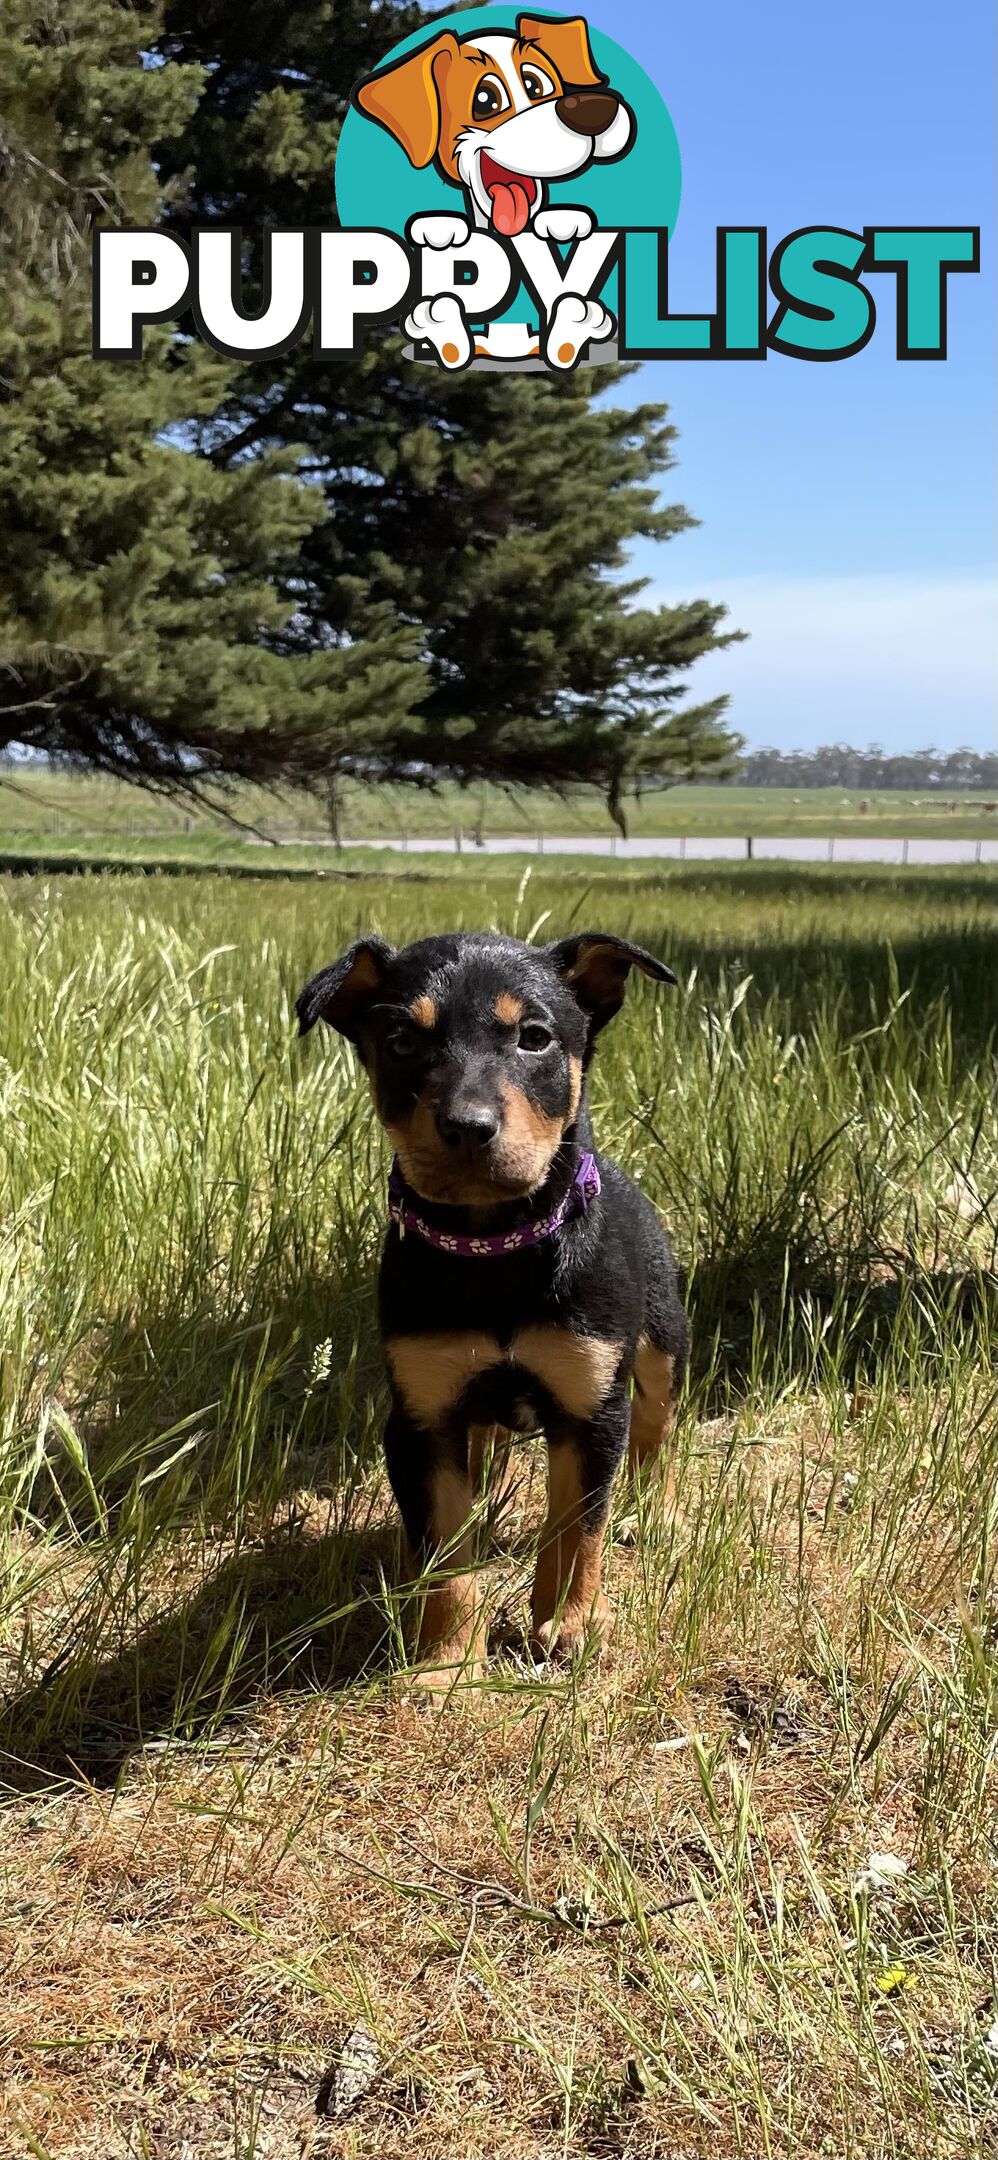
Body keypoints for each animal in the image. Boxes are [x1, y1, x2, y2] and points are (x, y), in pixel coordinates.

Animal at [295, 928, 686, 1667]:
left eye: (534, 1037)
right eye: (401, 1041)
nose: (468, 1126)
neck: (495, 1248)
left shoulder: (591, 1408)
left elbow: (577, 1527)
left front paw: (569, 1622)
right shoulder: (422, 1417)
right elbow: (444, 1548)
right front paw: (448, 1661)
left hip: (661, 1342)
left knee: (656, 1424)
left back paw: (652, 1506)